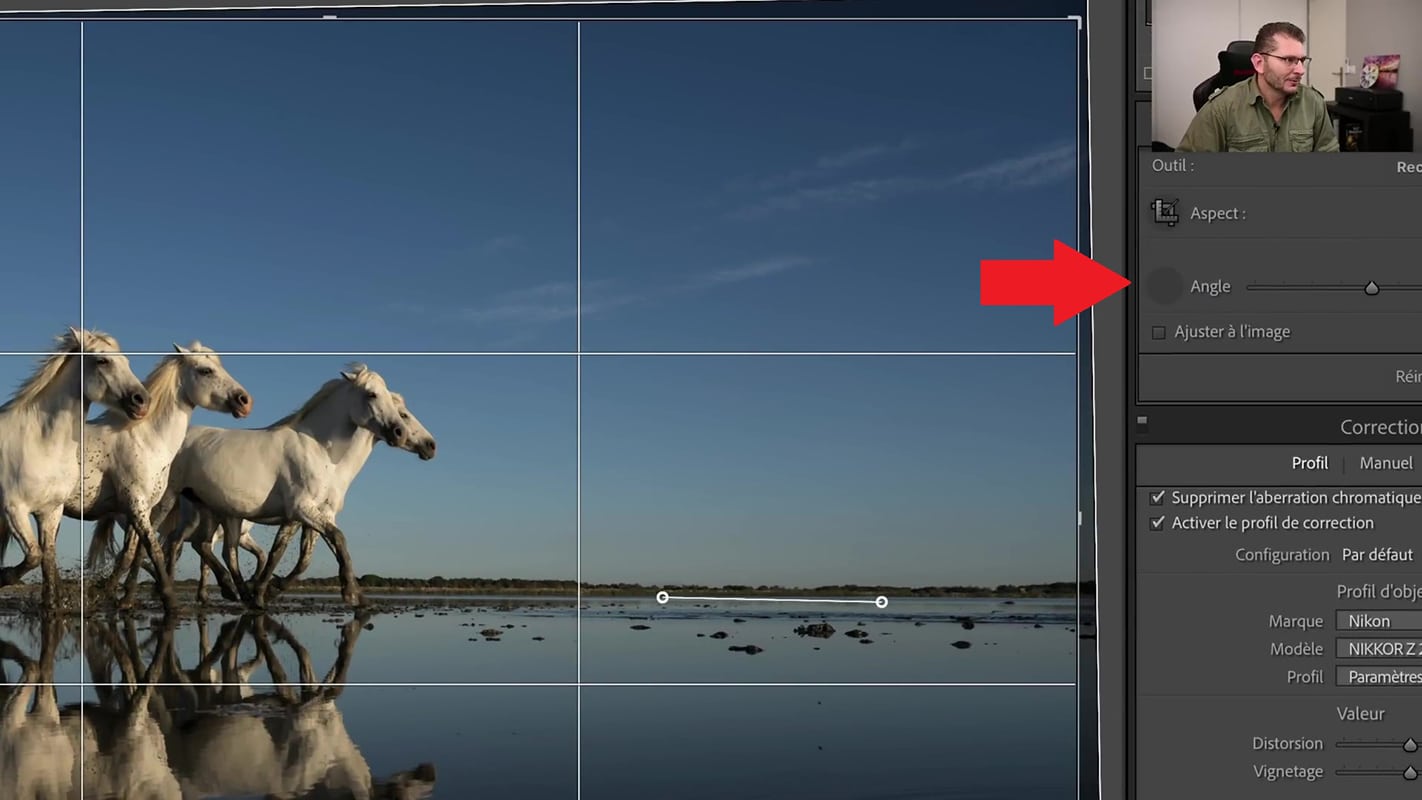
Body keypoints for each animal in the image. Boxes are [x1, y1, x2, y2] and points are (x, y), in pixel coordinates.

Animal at [0, 326, 148, 608]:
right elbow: (35, 556)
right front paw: (5, 576)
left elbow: (46, 561)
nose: (142, 400)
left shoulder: (50, 511)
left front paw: (51, 606)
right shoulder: (14, 509)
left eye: (126, 361)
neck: (41, 443)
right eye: (102, 361)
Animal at [35, 339, 253, 613]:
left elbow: (132, 553)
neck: (145, 438)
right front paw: (167, 601)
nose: (245, 400)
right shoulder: (135, 503)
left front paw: (116, 596)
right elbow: (153, 549)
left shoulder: (144, 508)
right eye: (206, 370)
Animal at [154, 366, 406, 611]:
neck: (319, 450)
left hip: (216, 511)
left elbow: (307, 550)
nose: (399, 432)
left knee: (216, 550)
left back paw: (239, 594)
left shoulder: (317, 513)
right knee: (172, 542)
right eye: (372, 394)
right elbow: (335, 538)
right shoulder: (300, 509)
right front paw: (351, 594)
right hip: (172, 500)